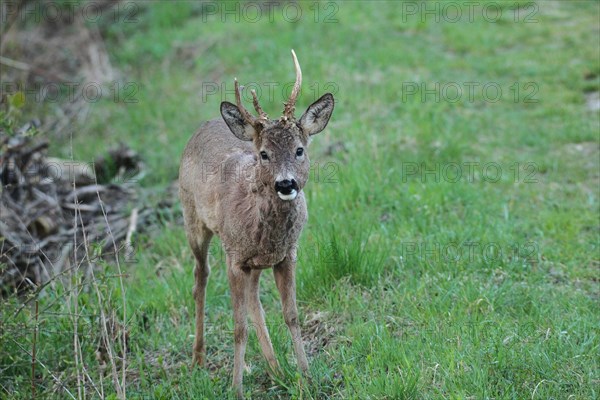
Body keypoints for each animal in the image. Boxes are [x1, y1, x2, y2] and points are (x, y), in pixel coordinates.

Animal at [178, 50, 338, 396]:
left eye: (299, 149)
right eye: (264, 154)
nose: (286, 183)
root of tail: (205, 125)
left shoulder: (286, 255)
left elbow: (291, 315)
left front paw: (306, 378)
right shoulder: (234, 257)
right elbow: (238, 327)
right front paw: (236, 389)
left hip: (252, 263)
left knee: (254, 301)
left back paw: (276, 370)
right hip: (193, 219)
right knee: (200, 278)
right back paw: (198, 359)